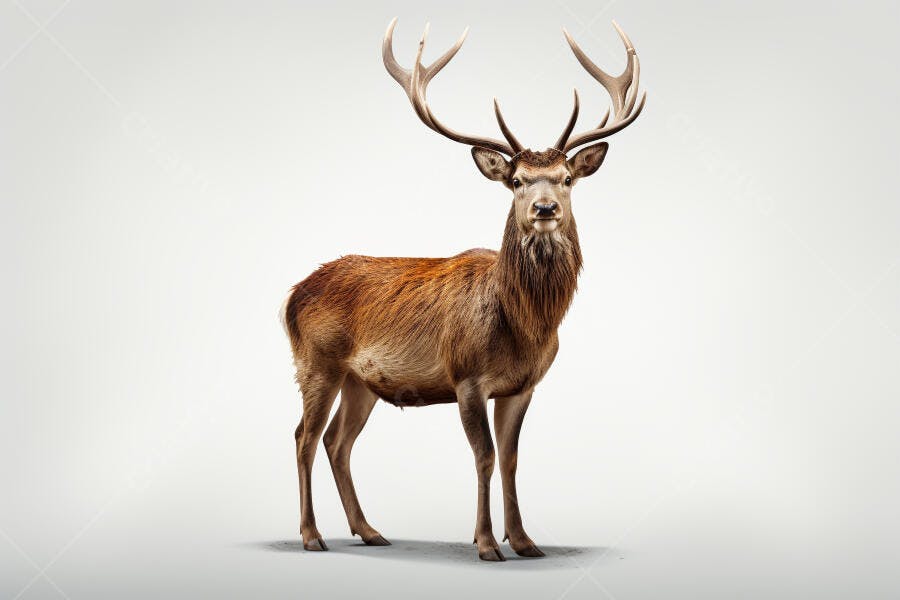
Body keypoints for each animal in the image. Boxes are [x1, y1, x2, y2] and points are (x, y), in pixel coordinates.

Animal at [282, 18, 646, 561]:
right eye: (516, 180)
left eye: (566, 178)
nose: (544, 209)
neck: (526, 325)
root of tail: (291, 296)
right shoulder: (466, 376)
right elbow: (485, 456)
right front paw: (487, 542)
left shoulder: (523, 386)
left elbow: (512, 457)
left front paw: (525, 541)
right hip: (316, 361)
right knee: (304, 436)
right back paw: (311, 535)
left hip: (360, 380)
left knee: (337, 442)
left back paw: (369, 530)